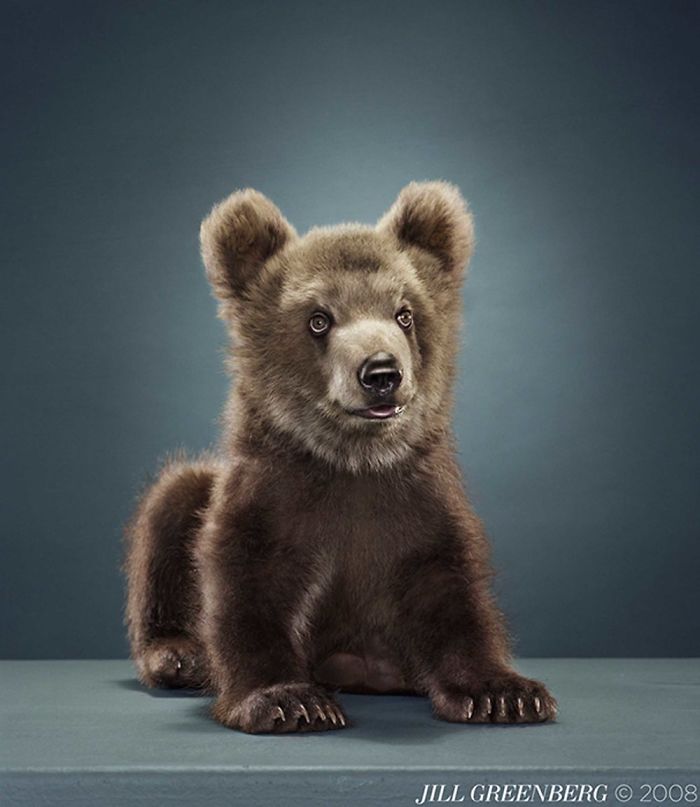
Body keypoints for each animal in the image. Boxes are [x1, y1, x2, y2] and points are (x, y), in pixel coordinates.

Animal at [124, 182, 557, 733]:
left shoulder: (417, 504)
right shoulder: (274, 497)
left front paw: (504, 693)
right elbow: (246, 588)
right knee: (172, 503)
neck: (355, 462)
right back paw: (180, 654)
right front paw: (287, 699)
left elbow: (451, 591)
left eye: (404, 313)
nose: (382, 372)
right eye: (318, 319)